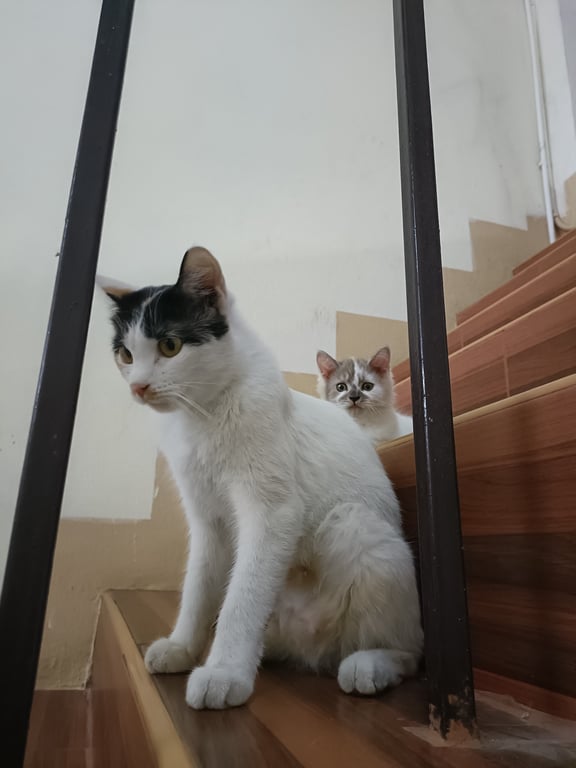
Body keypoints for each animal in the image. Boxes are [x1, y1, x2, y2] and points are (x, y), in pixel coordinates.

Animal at [98, 247, 423, 710]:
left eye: (170, 345)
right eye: (125, 355)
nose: (138, 387)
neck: (202, 416)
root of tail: (313, 652)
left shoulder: (273, 513)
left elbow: (242, 598)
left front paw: (223, 672)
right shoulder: (207, 521)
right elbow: (197, 586)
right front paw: (182, 646)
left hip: (353, 524)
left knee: (412, 650)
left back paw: (370, 665)